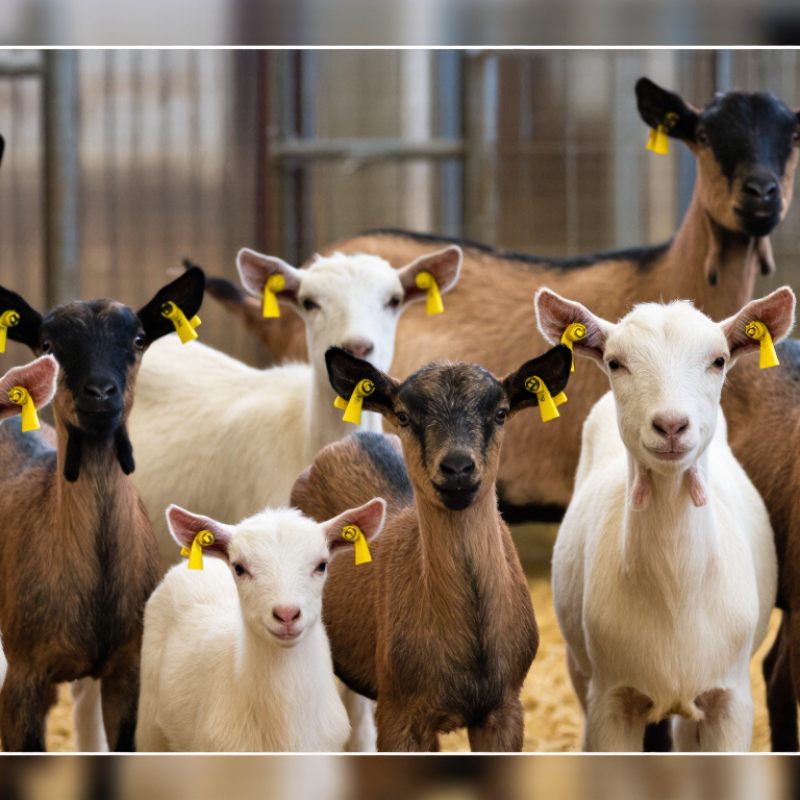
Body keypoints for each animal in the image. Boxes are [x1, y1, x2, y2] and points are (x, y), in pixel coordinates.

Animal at [290, 343, 573, 751]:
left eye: (500, 413)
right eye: (404, 416)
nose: (457, 467)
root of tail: (354, 439)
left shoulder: (505, 708)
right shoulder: (397, 714)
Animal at [535, 285, 795, 751]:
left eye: (719, 360)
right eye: (615, 363)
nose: (671, 425)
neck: (675, 590)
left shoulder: (730, 699)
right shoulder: (610, 697)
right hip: (578, 667)